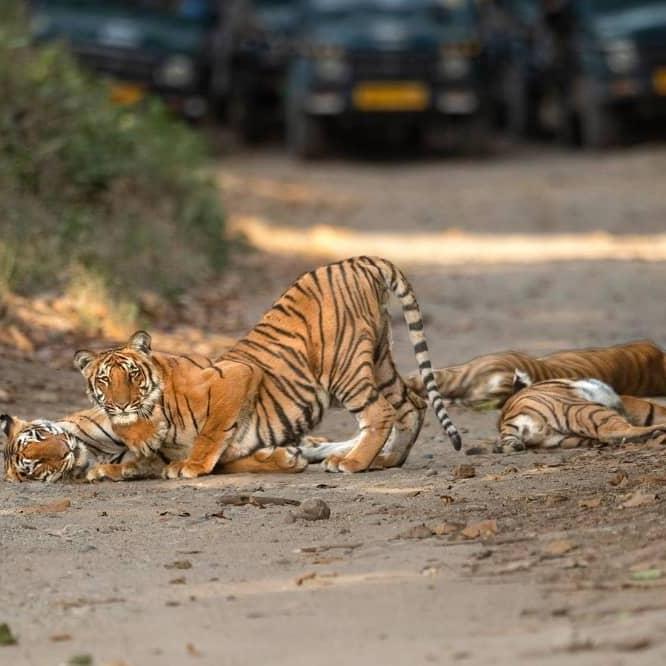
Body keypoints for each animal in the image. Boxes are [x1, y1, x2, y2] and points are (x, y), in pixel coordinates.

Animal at [67, 253, 460, 478]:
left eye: (132, 375)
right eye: (104, 380)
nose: (120, 405)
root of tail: (356, 261)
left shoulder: (237, 376)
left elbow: (212, 432)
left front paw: (191, 466)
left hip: (345, 368)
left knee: (380, 412)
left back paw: (352, 463)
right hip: (379, 360)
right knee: (412, 404)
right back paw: (386, 460)